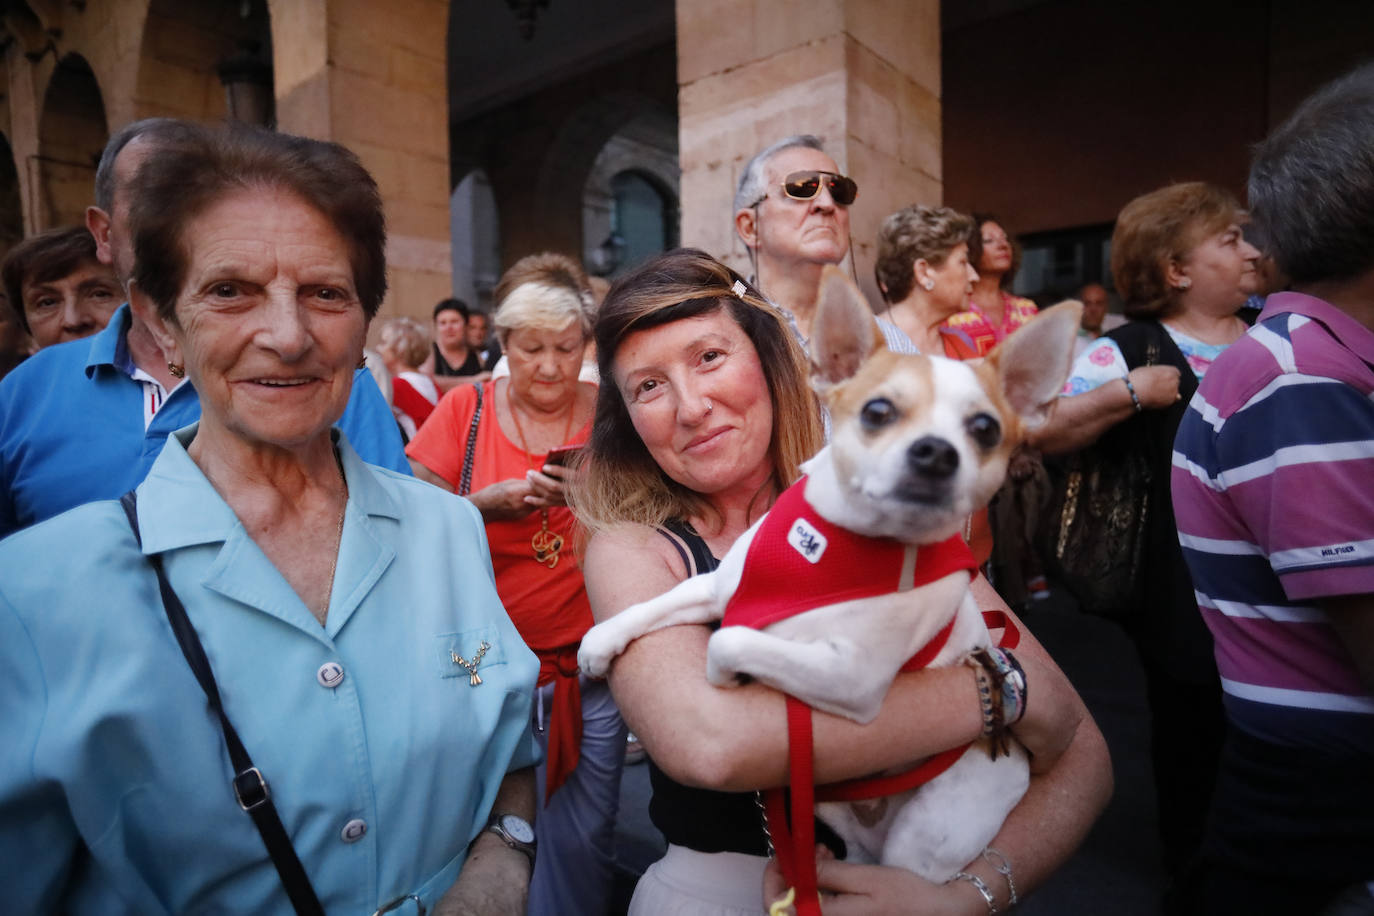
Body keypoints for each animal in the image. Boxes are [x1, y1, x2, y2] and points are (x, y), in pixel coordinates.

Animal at [574, 269, 1077, 884]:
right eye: (877, 412)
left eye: (984, 428)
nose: (936, 453)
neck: (834, 549)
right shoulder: (718, 588)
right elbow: (654, 606)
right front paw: (601, 642)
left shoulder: (851, 676)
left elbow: (731, 639)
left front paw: (730, 672)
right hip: (830, 808)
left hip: (924, 839)